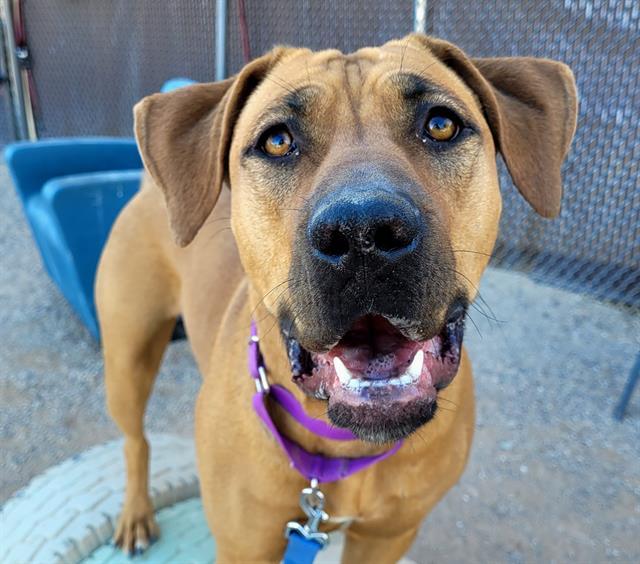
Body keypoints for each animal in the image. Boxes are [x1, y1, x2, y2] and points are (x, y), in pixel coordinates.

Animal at [96, 34, 580, 560]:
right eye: (277, 141)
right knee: (134, 439)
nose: (363, 232)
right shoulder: (245, 545)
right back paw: (136, 512)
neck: (345, 446)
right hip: (127, 357)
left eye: (441, 124)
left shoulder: (388, 537)